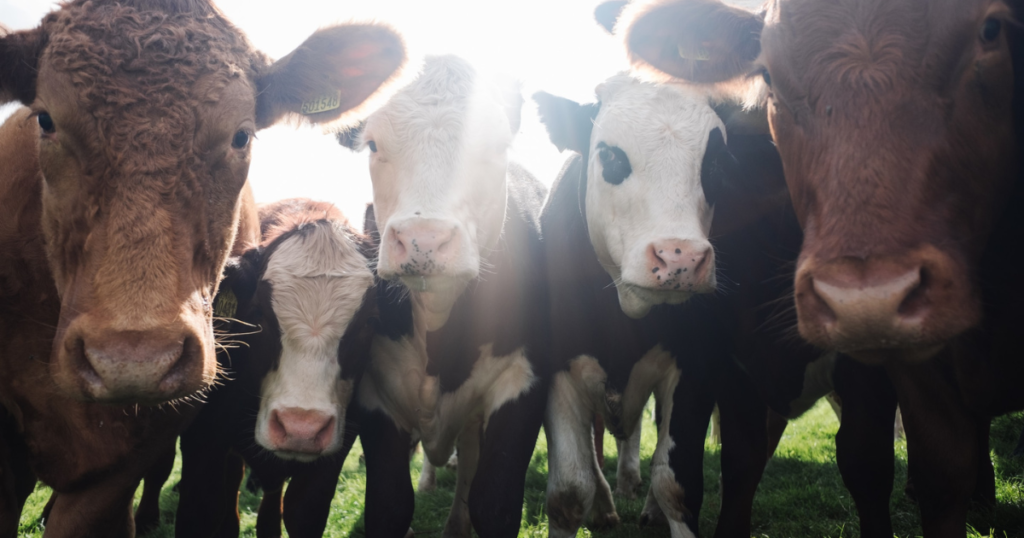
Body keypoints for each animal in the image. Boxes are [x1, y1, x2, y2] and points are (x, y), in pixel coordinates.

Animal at [337, 54, 552, 536]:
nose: (424, 240)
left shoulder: (522, 381)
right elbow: (390, 505)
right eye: (373, 144)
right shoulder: (375, 396)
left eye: (496, 145)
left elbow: (494, 502)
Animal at [614, 1, 1024, 532]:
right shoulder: (733, 361)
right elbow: (741, 461)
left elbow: (866, 462)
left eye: (991, 30)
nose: (866, 300)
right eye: (767, 72)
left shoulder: (872, 374)